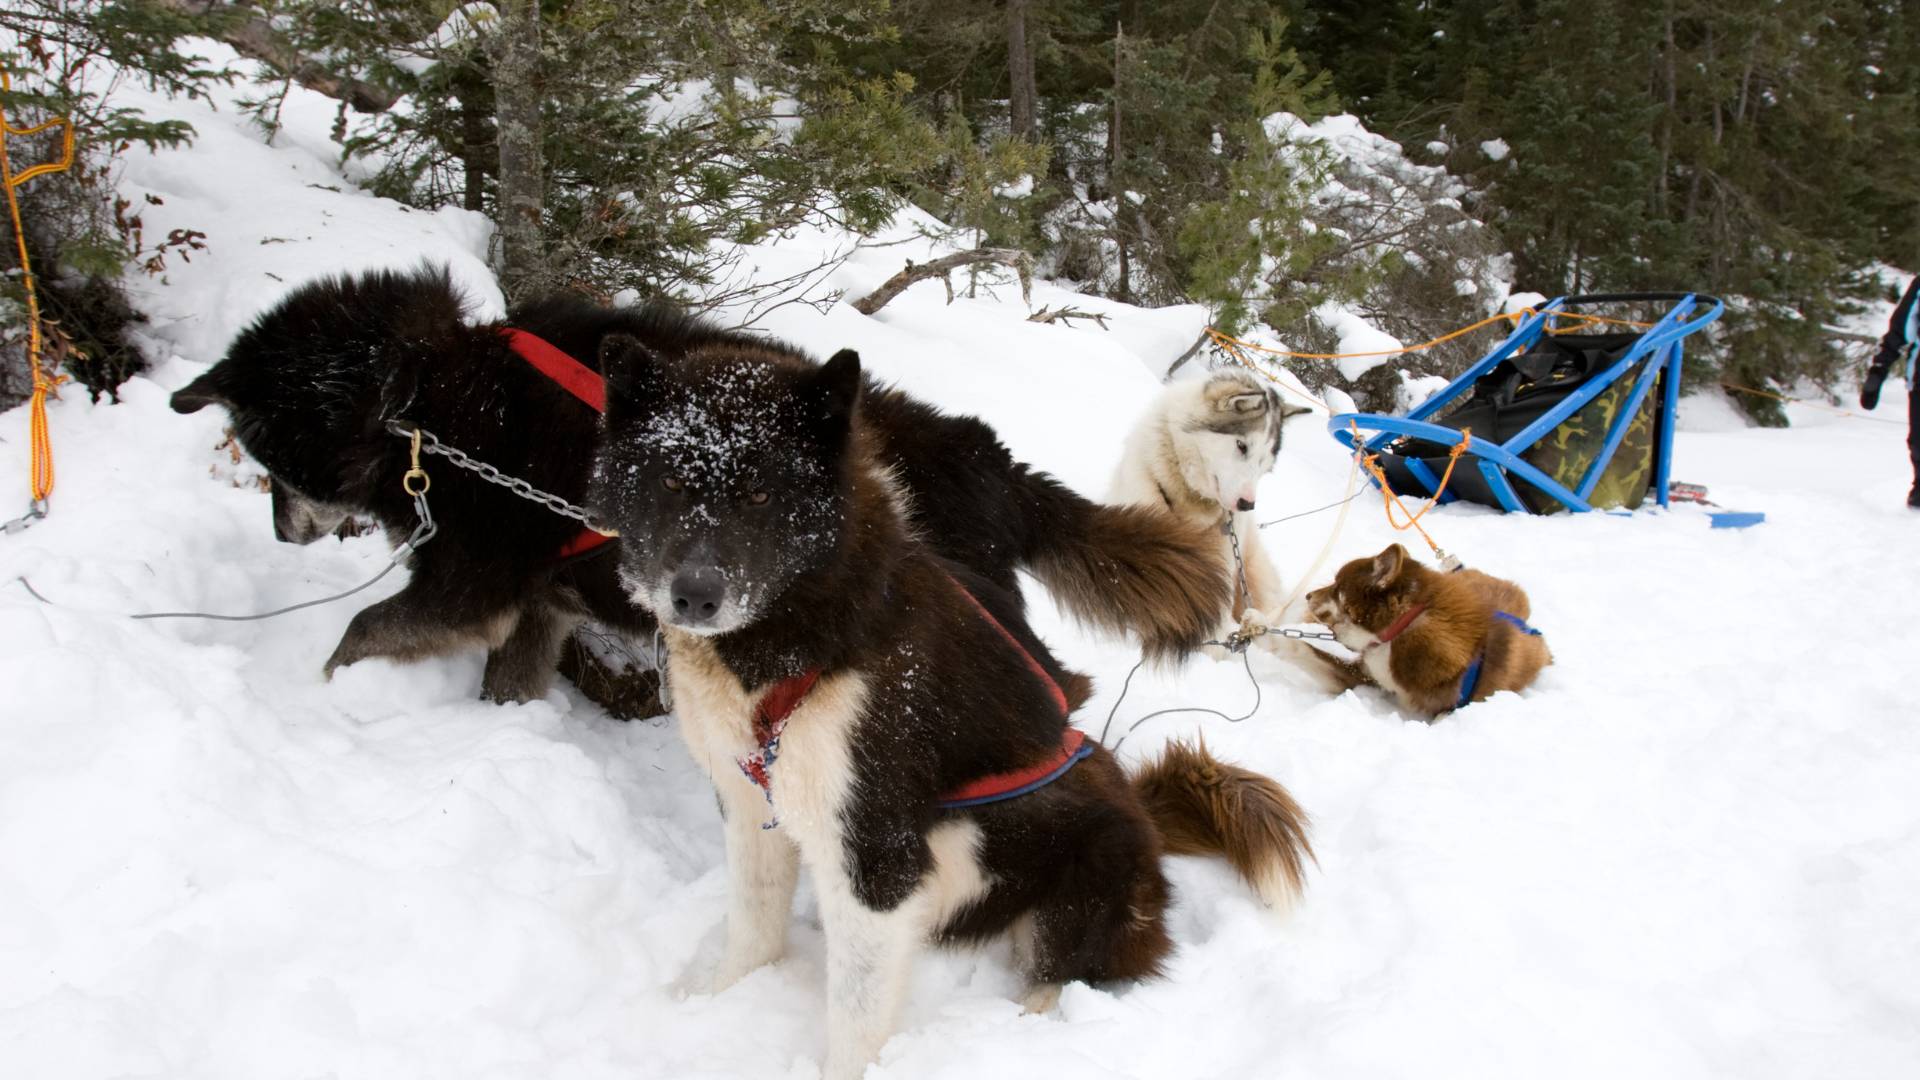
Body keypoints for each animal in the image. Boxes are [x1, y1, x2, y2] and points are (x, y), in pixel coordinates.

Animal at [176, 265, 1228, 703]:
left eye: (262, 459)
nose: (279, 533)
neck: (423, 397)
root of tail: (995, 466)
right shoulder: (535, 604)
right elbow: (506, 681)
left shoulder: (466, 585)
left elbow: (356, 634)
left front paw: (318, 699)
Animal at [591, 334, 1313, 1076]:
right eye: (672, 482)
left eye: (761, 492)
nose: (695, 594)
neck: (803, 636)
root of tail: (1143, 811)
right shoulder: (748, 805)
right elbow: (752, 932)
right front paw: (717, 1001)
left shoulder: (876, 856)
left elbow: (853, 1021)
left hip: (1081, 868)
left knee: (1065, 975)